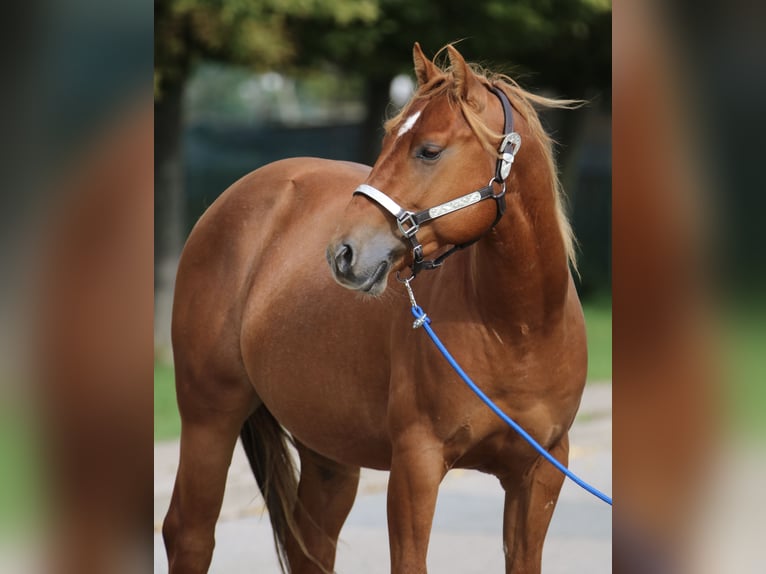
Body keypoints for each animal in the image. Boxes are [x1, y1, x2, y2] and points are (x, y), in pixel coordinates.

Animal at [162, 43, 587, 574]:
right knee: (190, 535)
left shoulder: (541, 472)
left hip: (328, 450)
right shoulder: (416, 467)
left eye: (429, 150)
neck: (518, 328)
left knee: (310, 544)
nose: (343, 253)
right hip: (210, 416)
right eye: (389, 138)